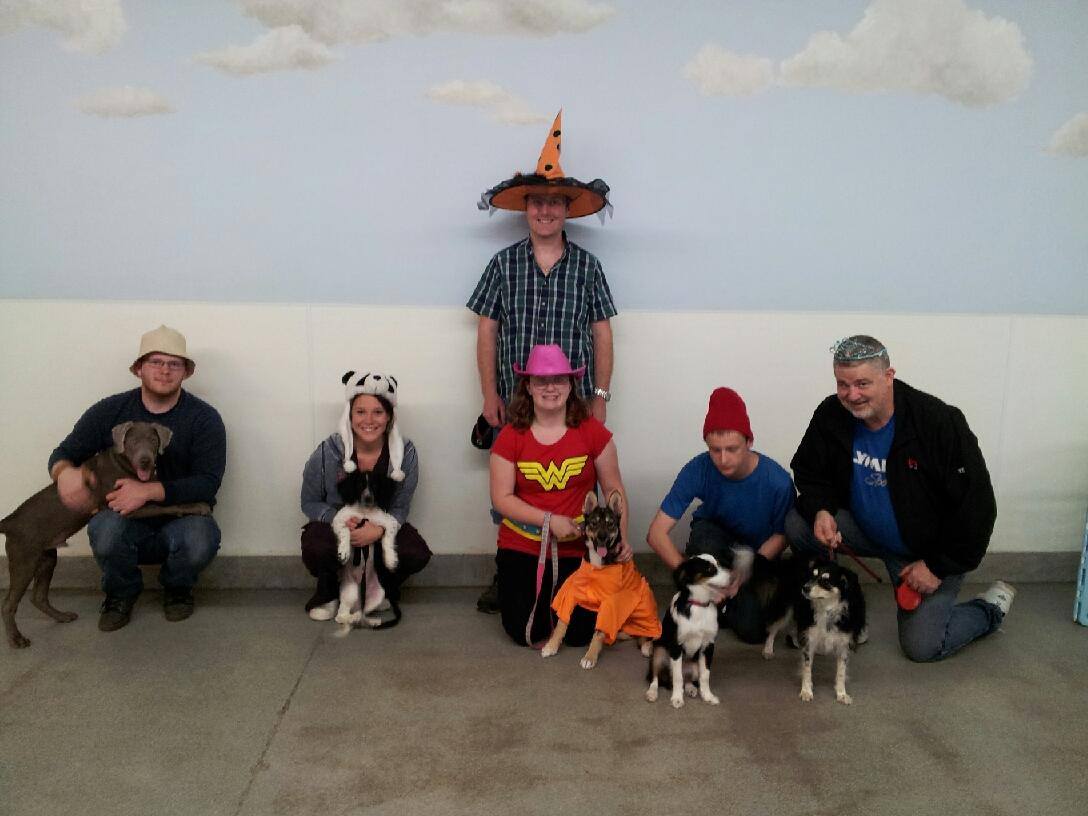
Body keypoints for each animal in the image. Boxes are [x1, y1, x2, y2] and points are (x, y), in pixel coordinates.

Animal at [331, 468, 399, 631]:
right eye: (360, 485)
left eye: (374, 485)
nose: (368, 498)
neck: (365, 512)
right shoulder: (339, 520)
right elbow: (346, 531)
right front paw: (344, 553)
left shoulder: (390, 522)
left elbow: (387, 538)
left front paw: (390, 560)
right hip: (350, 592)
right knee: (341, 616)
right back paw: (354, 618)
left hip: (378, 593)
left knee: (364, 611)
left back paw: (372, 620)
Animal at [541, 490, 659, 668]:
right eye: (594, 523)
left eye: (610, 524)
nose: (602, 537)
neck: (598, 562)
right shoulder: (571, 592)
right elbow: (561, 624)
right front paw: (551, 646)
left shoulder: (610, 603)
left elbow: (598, 633)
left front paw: (590, 657)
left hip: (644, 606)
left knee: (648, 633)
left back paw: (647, 646)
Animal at [646, 550, 751, 708]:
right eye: (709, 569)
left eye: (719, 564)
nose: (733, 577)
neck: (699, 605)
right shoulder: (676, 646)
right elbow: (677, 677)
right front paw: (677, 698)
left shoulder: (708, 646)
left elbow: (705, 676)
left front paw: (708, 696)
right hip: (659, 652)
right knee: (656, 677)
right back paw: (652, 693)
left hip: (693, 665)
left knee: (688, 678)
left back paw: (691, 689)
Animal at [762, 555, 867, 705]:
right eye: (812, 576)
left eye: (826, 580)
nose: (804, 588)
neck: (827, 609)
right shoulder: (810, 639)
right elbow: (807, 668)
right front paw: (806, 691)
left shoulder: (843, 643)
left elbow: (841, 672)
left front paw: (841, 694)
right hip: (785, 609)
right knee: (772, 629)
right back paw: (768, 650)